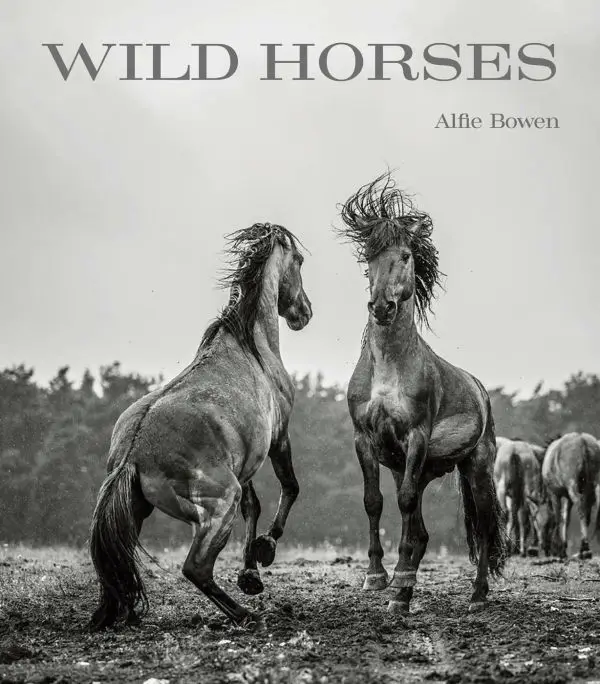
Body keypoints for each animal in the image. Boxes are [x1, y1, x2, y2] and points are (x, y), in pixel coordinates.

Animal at [89, 222, 312, 630]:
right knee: (195, 568)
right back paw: (245, 616)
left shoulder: (246, 460)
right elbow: (290, 488)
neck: (252, 343)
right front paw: (266, 548)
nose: (304, 312)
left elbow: (254, 506)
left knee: (116, 564)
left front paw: (250, 576)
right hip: (219, 504)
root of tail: (133, 452)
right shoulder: (279, 437)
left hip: (137, 511)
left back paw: (122, 613)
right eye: (299, 260)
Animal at [337, 173, 506, 615]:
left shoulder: (415, 436)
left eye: (406, 256)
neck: (388, 367)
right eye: (369, 258)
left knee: (483, 526)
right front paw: (378, 578)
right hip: (420, 466)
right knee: (422, 530)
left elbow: (407, 504)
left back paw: (477, 594)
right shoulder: (365, 439)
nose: (382, 307)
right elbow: (374, 502)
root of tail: (481, 391)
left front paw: (399, 583)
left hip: (477, 467)